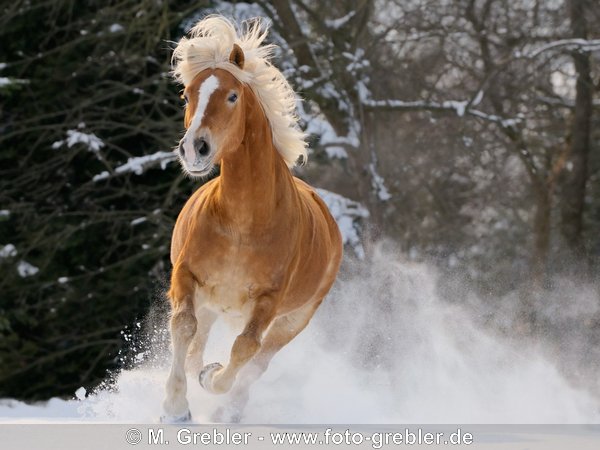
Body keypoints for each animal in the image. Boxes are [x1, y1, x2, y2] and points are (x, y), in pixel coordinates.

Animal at [161, 14, 342, 422]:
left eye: (232, 96)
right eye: (187, 96)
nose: (194, 149)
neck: (244, 223)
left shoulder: (268, 302)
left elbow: (244, 349)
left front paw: (211, 380)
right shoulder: (187, 276)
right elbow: (183, 327)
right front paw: (176, 408)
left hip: (294, 319)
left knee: (259, 360)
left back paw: (229, 410)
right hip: (211, 302)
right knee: (198, 339)